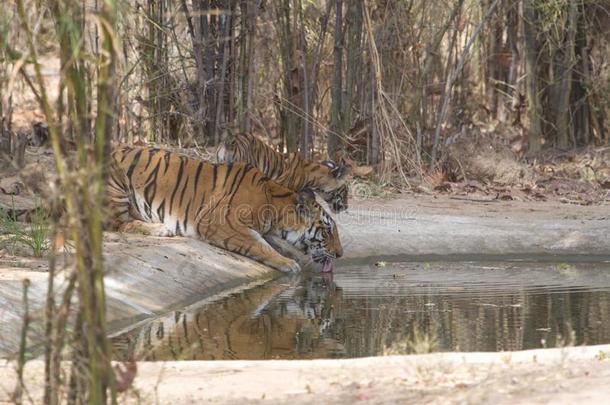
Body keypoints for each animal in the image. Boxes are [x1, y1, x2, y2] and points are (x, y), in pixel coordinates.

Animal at [108, 145, 342, 272]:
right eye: (328, 231)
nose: (340, 254)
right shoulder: (223, 224)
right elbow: (260, 246)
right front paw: (289, 263)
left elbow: (272, 242)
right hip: (117, 186)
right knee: (119, 224)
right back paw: (161, 229)